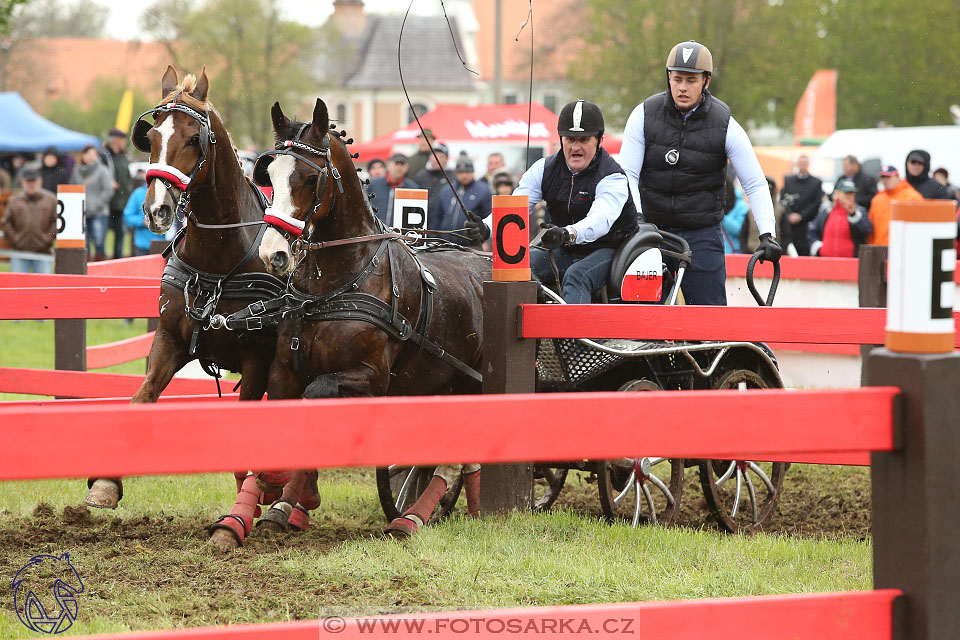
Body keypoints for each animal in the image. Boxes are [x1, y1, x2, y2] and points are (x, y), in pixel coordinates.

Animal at [207, 100, 492, 552]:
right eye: (269, 174)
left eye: (310, 177)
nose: (273, 253)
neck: (338, 284)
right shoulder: (284, 369)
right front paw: (254, 510)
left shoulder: (369, 378)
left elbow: (316, 400)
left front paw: (290, 490)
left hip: (472, 384)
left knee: (459, 458)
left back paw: (413, 517)